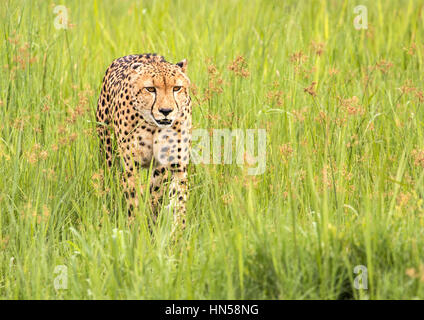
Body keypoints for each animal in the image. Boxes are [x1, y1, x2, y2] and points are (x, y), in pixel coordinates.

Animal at [95, 53, 192, 231]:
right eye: (150, 89)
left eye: (176, 88)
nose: (166, 111)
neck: (154, 126)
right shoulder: (132, 165)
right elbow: (134, 197)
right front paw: (136, 228)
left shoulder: (175, 165)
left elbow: (177, 199)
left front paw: (177, 233)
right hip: (107, 147)